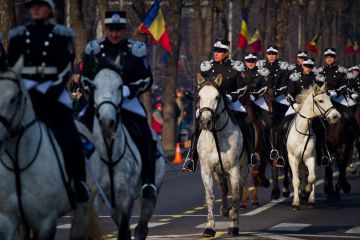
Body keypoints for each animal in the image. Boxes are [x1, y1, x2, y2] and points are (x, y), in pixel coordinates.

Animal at [82, 66, 165, 240]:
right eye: (94, 87)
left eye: (120, 87)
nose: (107, 121)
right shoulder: (101, 198)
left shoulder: (126, 199)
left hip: (151, 193)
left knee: (141, 226)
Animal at [197, 74, 248, 237]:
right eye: (199, 96)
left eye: (217, 96)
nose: (206, 122)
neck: (216, 135)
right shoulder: (207, 170)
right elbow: (210, 197)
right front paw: (210, 227)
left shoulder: (234, 169)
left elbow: (236, 195)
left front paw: (234, 224)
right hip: (218, 172)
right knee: (225, 189)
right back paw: (225, 211)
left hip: (243, 168)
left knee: (238, 190)